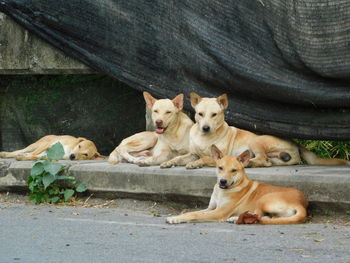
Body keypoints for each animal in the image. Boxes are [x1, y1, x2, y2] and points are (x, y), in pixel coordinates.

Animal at [161, 92, 350, 169]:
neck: (204, 138)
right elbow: (179, 157)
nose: (205, 127)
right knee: (267, 162)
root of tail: (295, 143)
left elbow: (204, 158)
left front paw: (195, 164)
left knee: (262, 160)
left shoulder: (218, 156)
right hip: (276, 158)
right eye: (200, 114)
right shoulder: (192, 152)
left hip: (256, 141)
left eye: (214, 115)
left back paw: (248, 163)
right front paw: (169, 162)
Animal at [165, 145, 308, 226]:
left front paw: (176, 219)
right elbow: (193, 212)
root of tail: (301, 203)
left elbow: (194, 215)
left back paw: (237, 218)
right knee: (265, 217)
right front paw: (177, 216)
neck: (222, 191)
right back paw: (236, 218)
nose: (222, 181)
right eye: (220, 168)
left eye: (234, 170)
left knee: (258, 216)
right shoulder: (210, 208)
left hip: (263, 199)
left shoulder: (218, 212)